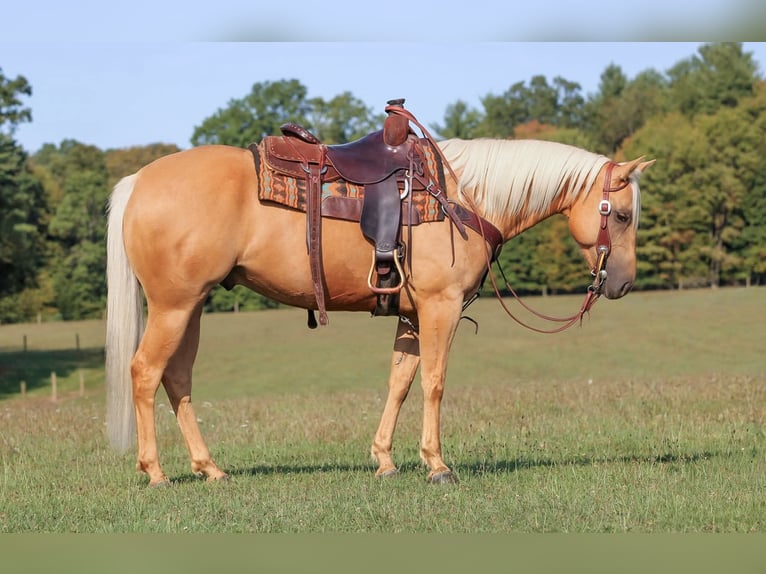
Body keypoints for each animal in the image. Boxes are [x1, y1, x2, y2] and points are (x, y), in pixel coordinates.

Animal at [105, 119, 654, 486]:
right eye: (623, 215)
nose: (623, 283)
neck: (463, 197)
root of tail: (140, 180)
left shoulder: (410, 315)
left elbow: (400, 383)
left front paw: (385, 460)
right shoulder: (440, 307)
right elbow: (434, 382)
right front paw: (437, 465)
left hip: (191, 307)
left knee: (177, 379)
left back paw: (210, 468)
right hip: (174, 306)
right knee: (145, 372)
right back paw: (155, 472)